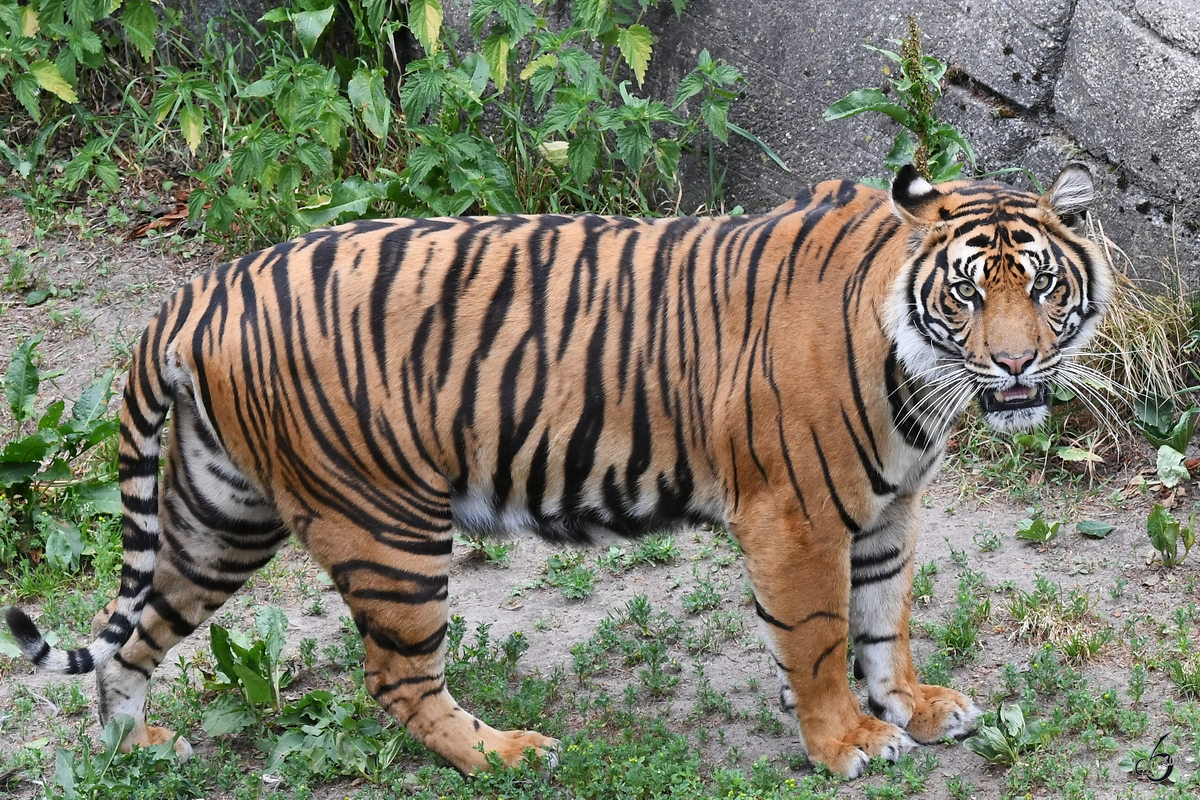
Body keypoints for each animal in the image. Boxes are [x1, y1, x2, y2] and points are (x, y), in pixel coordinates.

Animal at [2, 164, 1104, 777]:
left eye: (1044, 288)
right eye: (968, 295)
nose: (1017, 366)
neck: (921, 378)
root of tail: (201, 290)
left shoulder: (886, 509)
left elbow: (886, 620)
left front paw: (913, 706)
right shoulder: (795, 519)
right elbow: (823, 640)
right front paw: (846, 742)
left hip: (220, 516)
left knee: (138, 633)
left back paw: (136, 748)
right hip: (386, 527)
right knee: (395, 680)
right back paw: (507, 756)